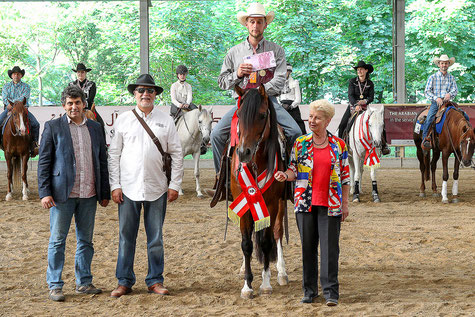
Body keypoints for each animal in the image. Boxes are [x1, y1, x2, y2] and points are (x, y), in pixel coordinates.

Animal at [231, 83, 290, 296]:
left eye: (263, 115)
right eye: (239, 114)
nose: (243, 152)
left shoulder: (271, 204)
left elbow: (265, 242)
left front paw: (265, 283)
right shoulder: (242, 204)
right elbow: (246, 244)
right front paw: (247, 285)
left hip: (280, 204)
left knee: (278, 232)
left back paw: (281, 272)